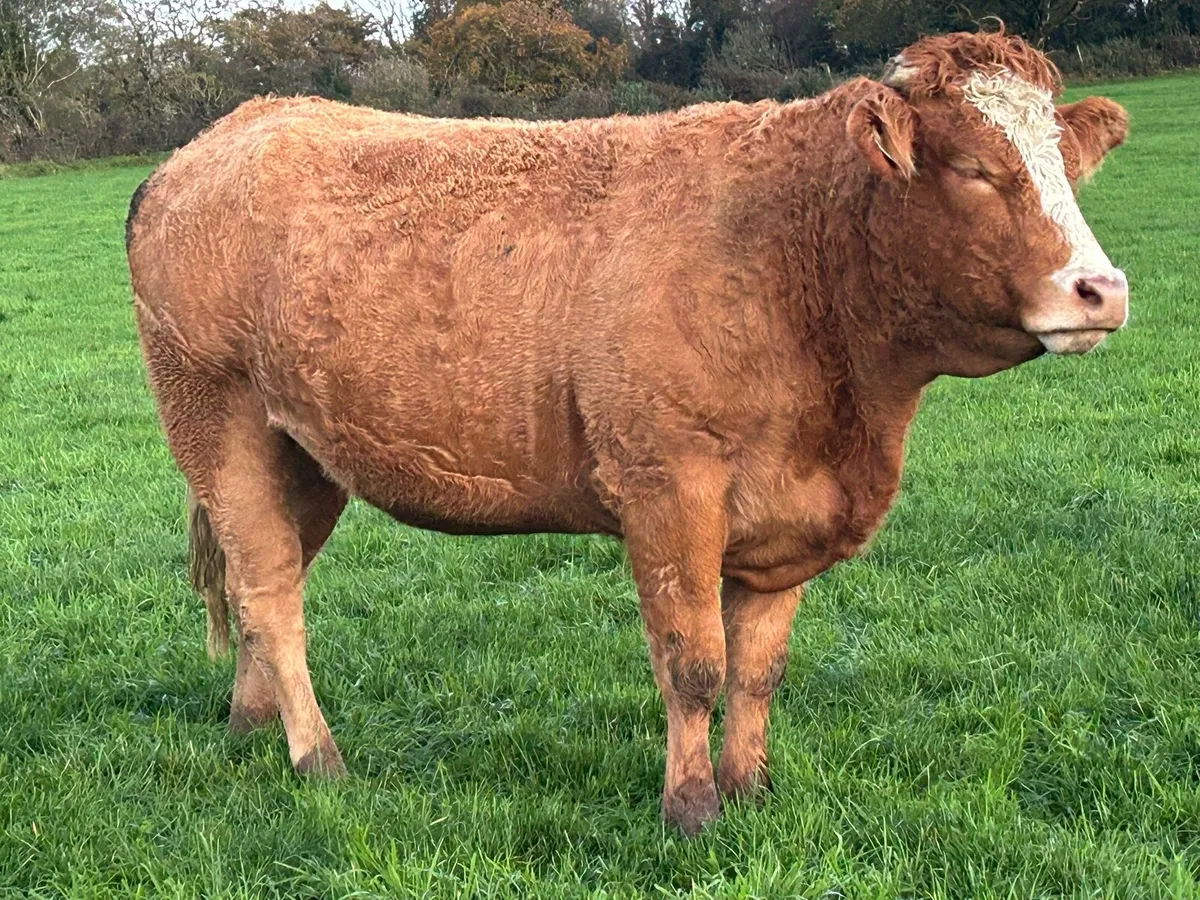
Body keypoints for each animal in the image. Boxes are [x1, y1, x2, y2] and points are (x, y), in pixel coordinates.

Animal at [125, 28, 1129, 834]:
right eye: (971, 167)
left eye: (1067, 167)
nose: (1102, 289)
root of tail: (216, 137)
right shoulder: (668, 488)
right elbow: (693, 664)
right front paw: (691, 810)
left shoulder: (785, 519)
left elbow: (757, 670)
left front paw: (751, 791)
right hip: (215, 420)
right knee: (268, 593)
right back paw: (318, 759)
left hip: (307, 452)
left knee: (265, 580)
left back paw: (250, 727)